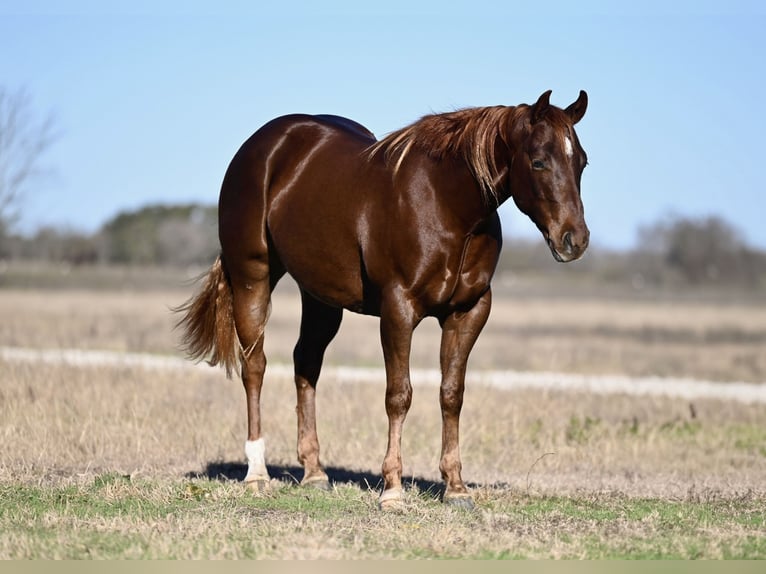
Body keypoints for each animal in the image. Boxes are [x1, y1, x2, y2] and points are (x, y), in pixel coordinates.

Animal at [177, 88, 592, 510]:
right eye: (539, 161)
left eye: (582, 162)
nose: (574, 240)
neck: (446, 206)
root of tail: (264, 144)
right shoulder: (398, 309)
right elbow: (399, 395)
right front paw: (392, 489)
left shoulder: (469, 312)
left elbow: (451, 394)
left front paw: (456, 487)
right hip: (253, 277)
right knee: (255, 366)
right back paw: (257, 473)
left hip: (321, 297)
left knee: (306, 363)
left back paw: (314, 471)